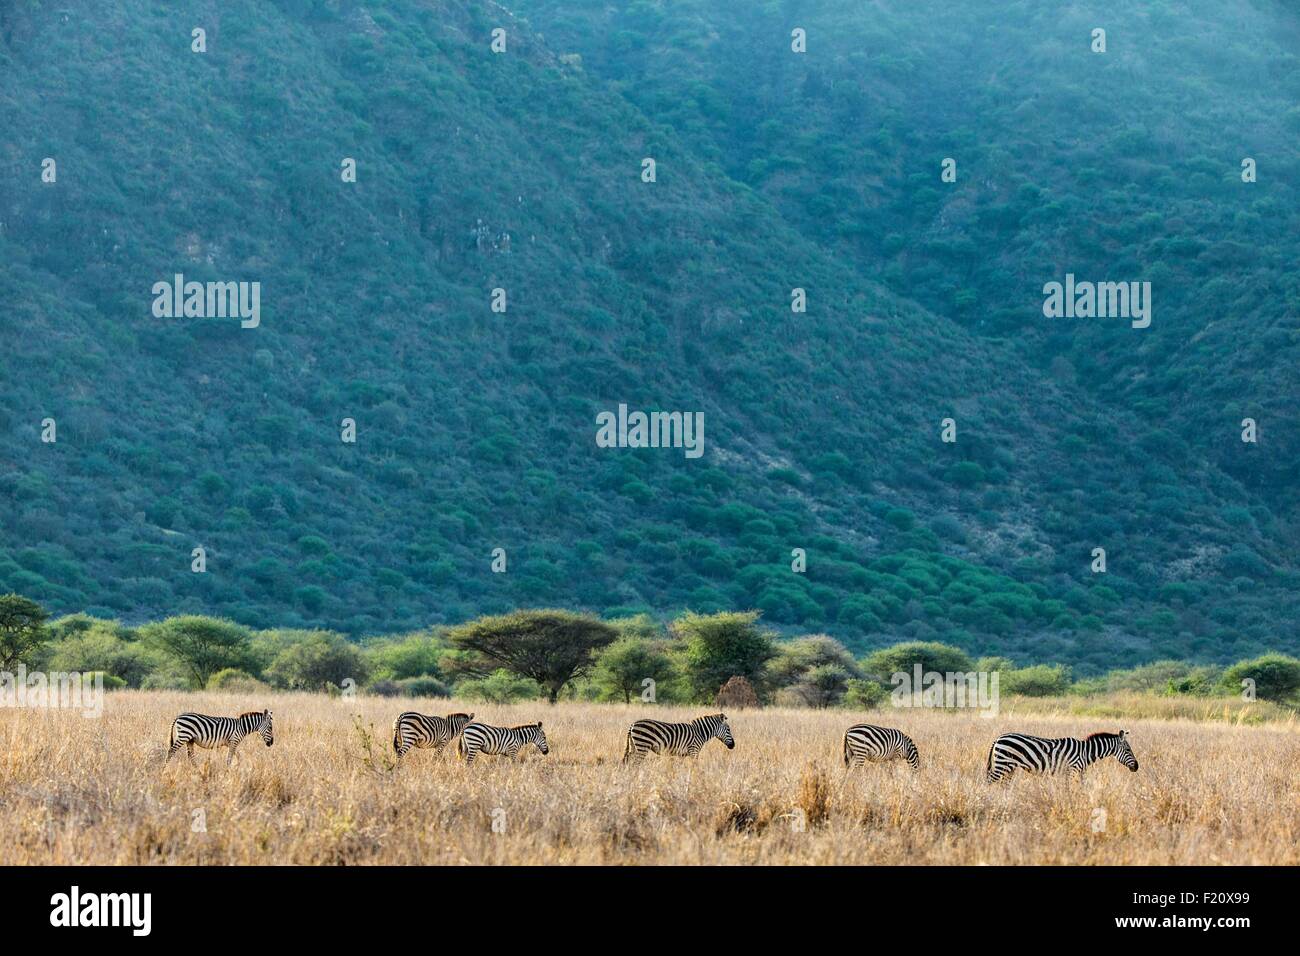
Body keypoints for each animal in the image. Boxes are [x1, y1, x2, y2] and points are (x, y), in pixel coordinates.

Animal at [982, 728, 1138, 780]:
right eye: (1128, 750)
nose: (1137, 767)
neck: (1085, 753)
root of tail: (998, 738)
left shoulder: (1078, 771)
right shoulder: (1072, 769)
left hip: (1009, 767)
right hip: (1002, 764)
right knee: (990, 781)